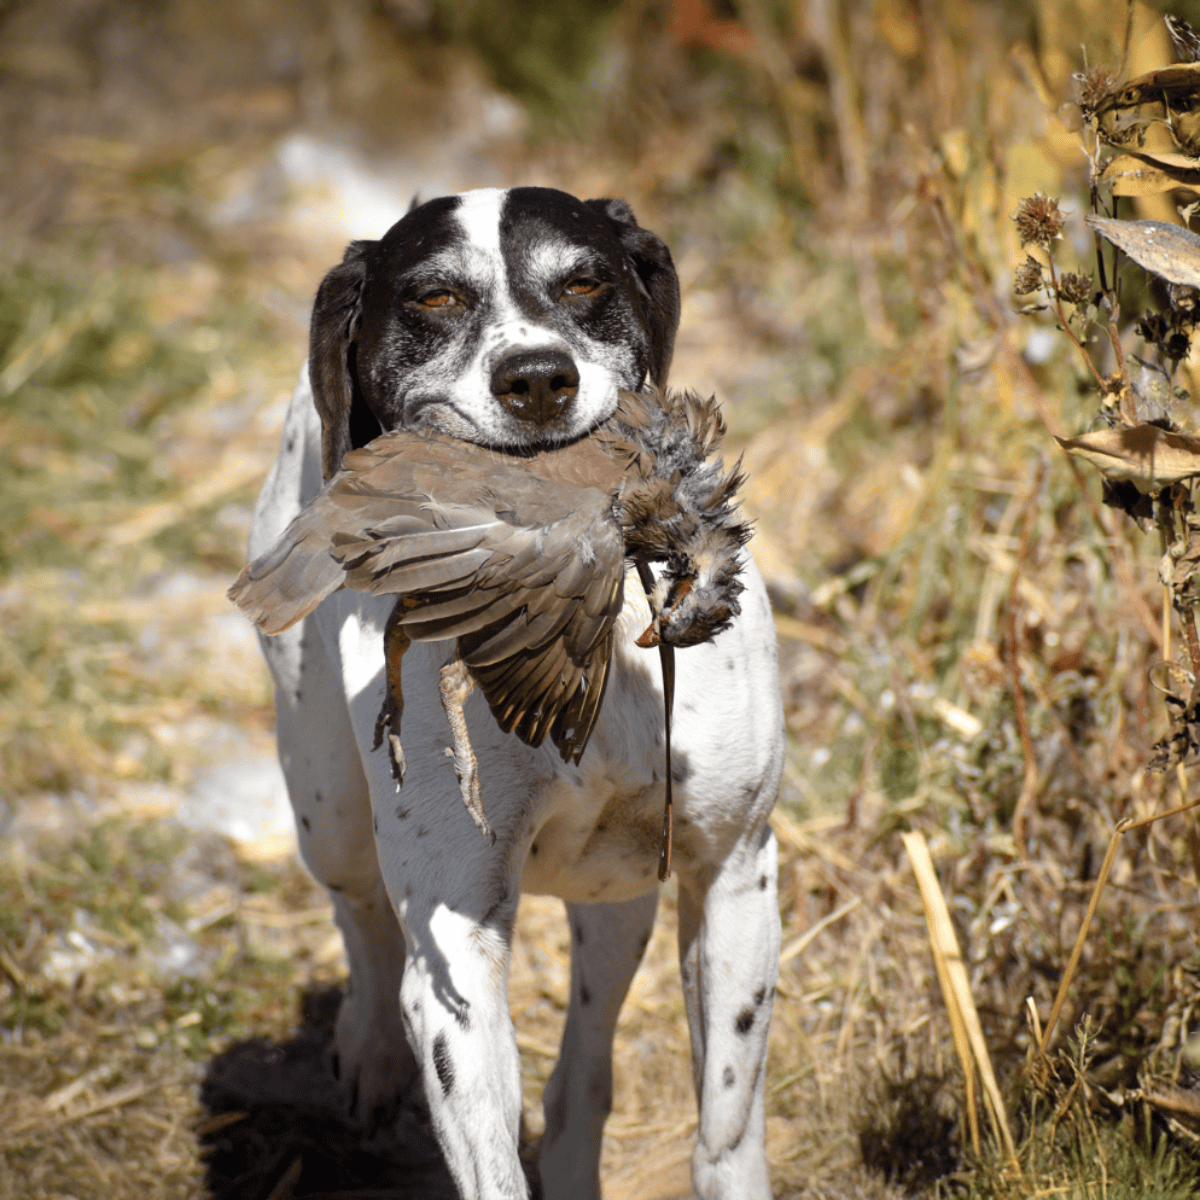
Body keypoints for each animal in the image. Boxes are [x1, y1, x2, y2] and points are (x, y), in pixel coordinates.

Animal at [245, 186, 785, 1199]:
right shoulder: (459, 954)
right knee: (362, 913)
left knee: (587, 1054)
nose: (537, 378)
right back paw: (369, 1050)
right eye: (434, 298)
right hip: (326, 805)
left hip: (621, 887)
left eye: (583, 281)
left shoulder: (732, 873)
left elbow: (725, 1125)